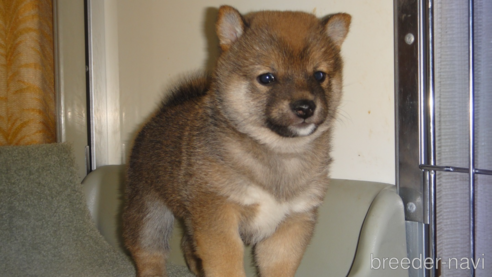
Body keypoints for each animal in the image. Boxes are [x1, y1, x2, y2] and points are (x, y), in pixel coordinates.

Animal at [122, 4, 350, 276]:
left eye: (319, 75)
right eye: (267, 78)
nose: (305, 107)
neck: (278, 155)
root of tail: (162, 112)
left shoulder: (291, 223)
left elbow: (278, 266)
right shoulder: (219, 214)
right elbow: (226, 265)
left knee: (187, 244)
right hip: (150, 211)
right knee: (148, 252)